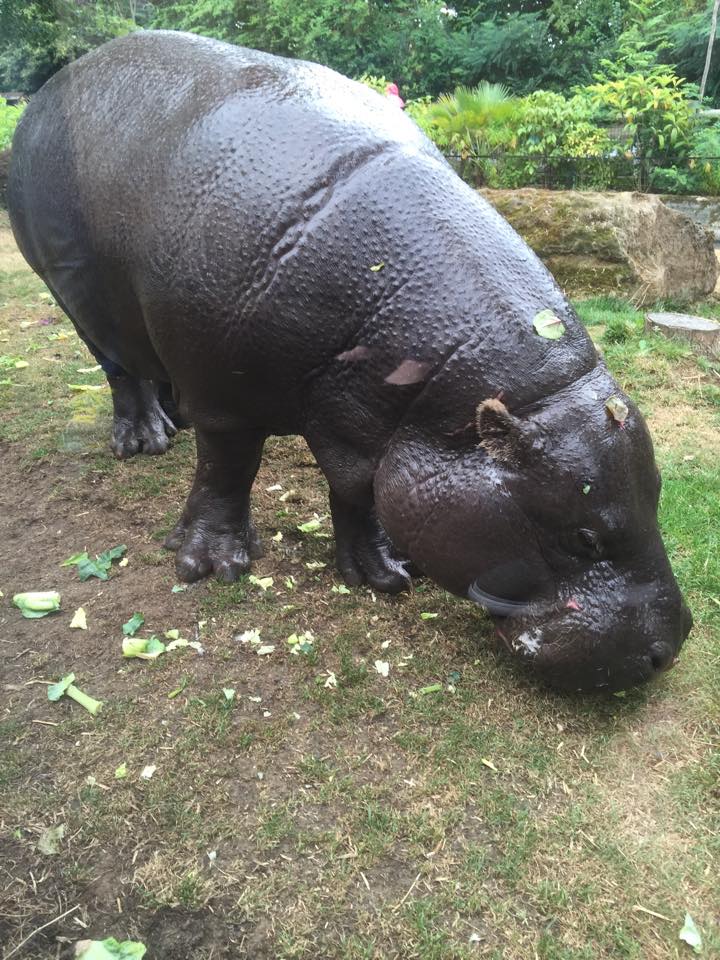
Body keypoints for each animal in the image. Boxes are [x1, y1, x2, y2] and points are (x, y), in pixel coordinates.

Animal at [8, 30, 691, 691]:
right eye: (584, 536)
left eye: (658, 492)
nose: (671, 648)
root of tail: (51, 89)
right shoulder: (226, 397)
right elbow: (227, 469)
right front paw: (212, 565)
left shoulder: (371, 420)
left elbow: (359, 489)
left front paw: (385, 573)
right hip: (71, 292)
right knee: (119, 368)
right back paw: (144, 441)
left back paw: (170, 423)